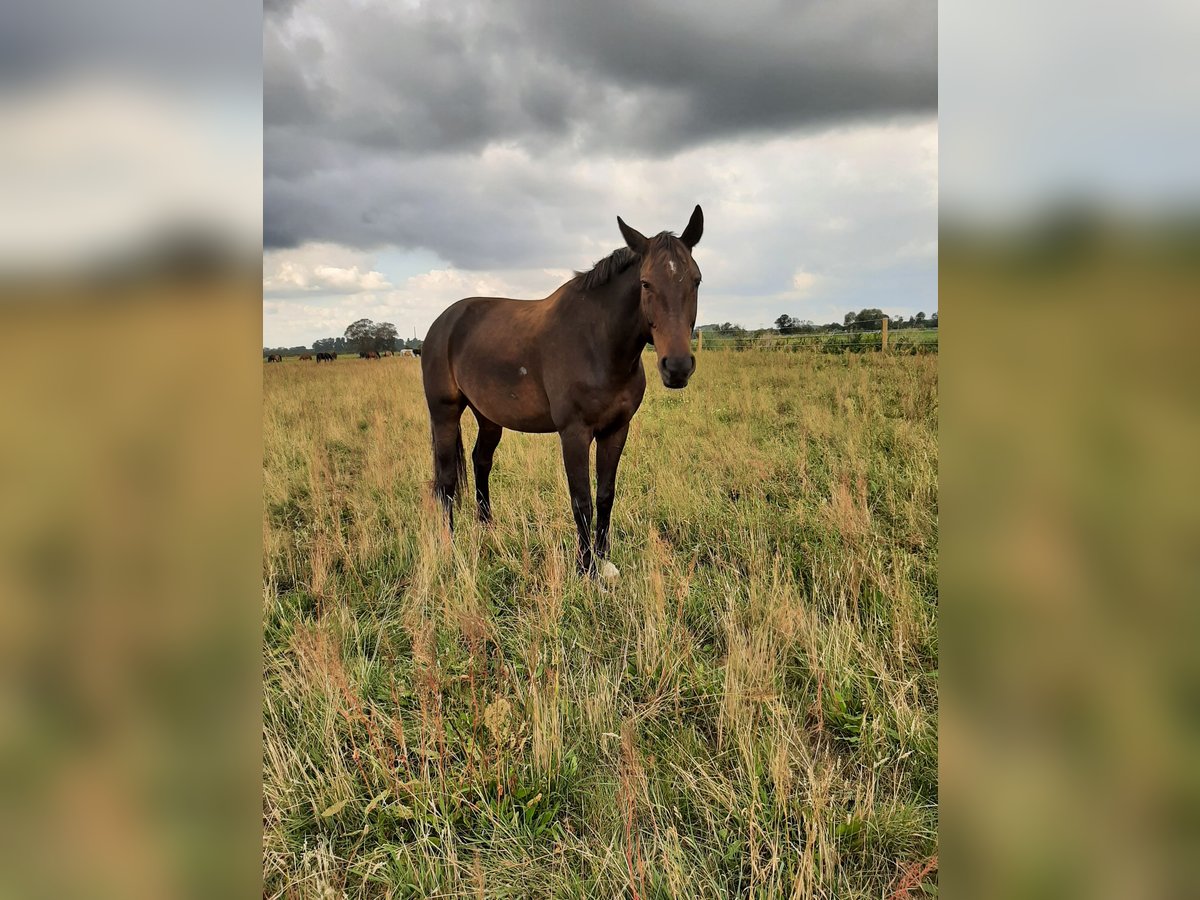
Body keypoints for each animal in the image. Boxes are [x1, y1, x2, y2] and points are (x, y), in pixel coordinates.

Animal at [422, 206, 700, 578]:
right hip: (444, 413)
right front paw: (586, 569)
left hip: (488, 417)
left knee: (481, 462)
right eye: (645, 283)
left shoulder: (616, 430)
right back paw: (448, 548)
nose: (678, 367)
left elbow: (605, 495)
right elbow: (581, 499)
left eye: (696, 280)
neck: (598, 344)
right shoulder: (574, 433)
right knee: (447, 483)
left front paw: (604, 559)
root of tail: (443, 322)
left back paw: (487, 531)